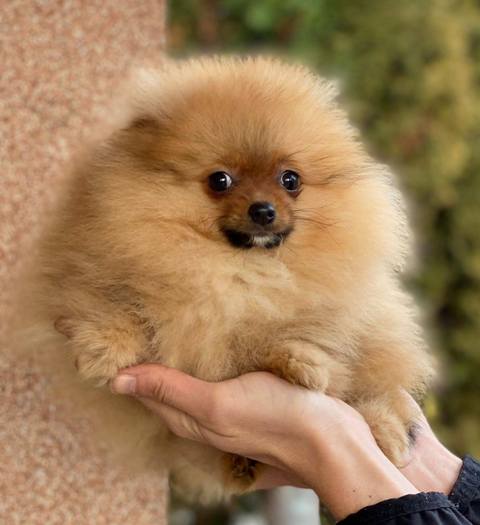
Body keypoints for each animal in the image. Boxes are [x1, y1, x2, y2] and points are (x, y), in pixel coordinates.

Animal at [35, 55, 434, 502]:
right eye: (220, 180)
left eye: (290, 180)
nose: (263, 210)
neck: (240, 270)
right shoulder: (88, 267)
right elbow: (117, 305)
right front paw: (104, 350)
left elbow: (299, 338)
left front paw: (302, 362)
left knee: (379, 391)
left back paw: (387, 434)